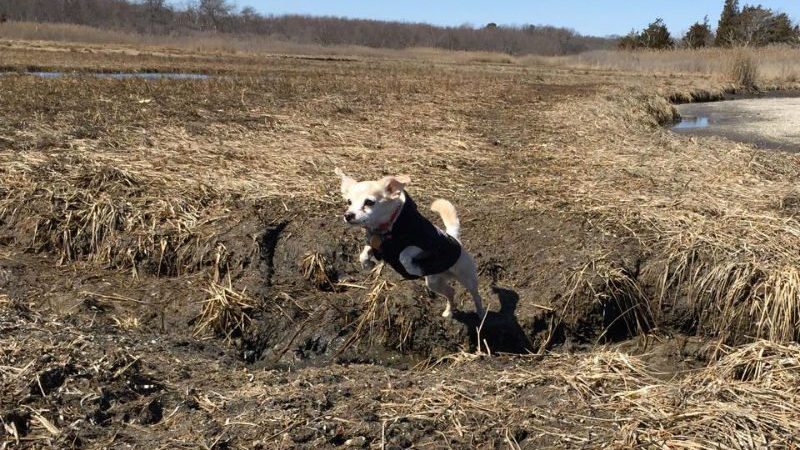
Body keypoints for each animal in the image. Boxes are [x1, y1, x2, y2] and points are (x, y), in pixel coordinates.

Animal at [334, 167, 484, 318]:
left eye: (369, 202)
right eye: (349, 202)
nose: (348, 215)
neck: (388, 229)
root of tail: (454, 238)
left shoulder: (427, 247)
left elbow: (404, 254)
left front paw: (413, 268)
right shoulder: (376, 244)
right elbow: (365, 252)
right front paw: (366, 264)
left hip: (467, 278)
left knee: (476, 296)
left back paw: (481, 314)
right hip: (434, 283)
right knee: (451, 292)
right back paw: (448, 312)